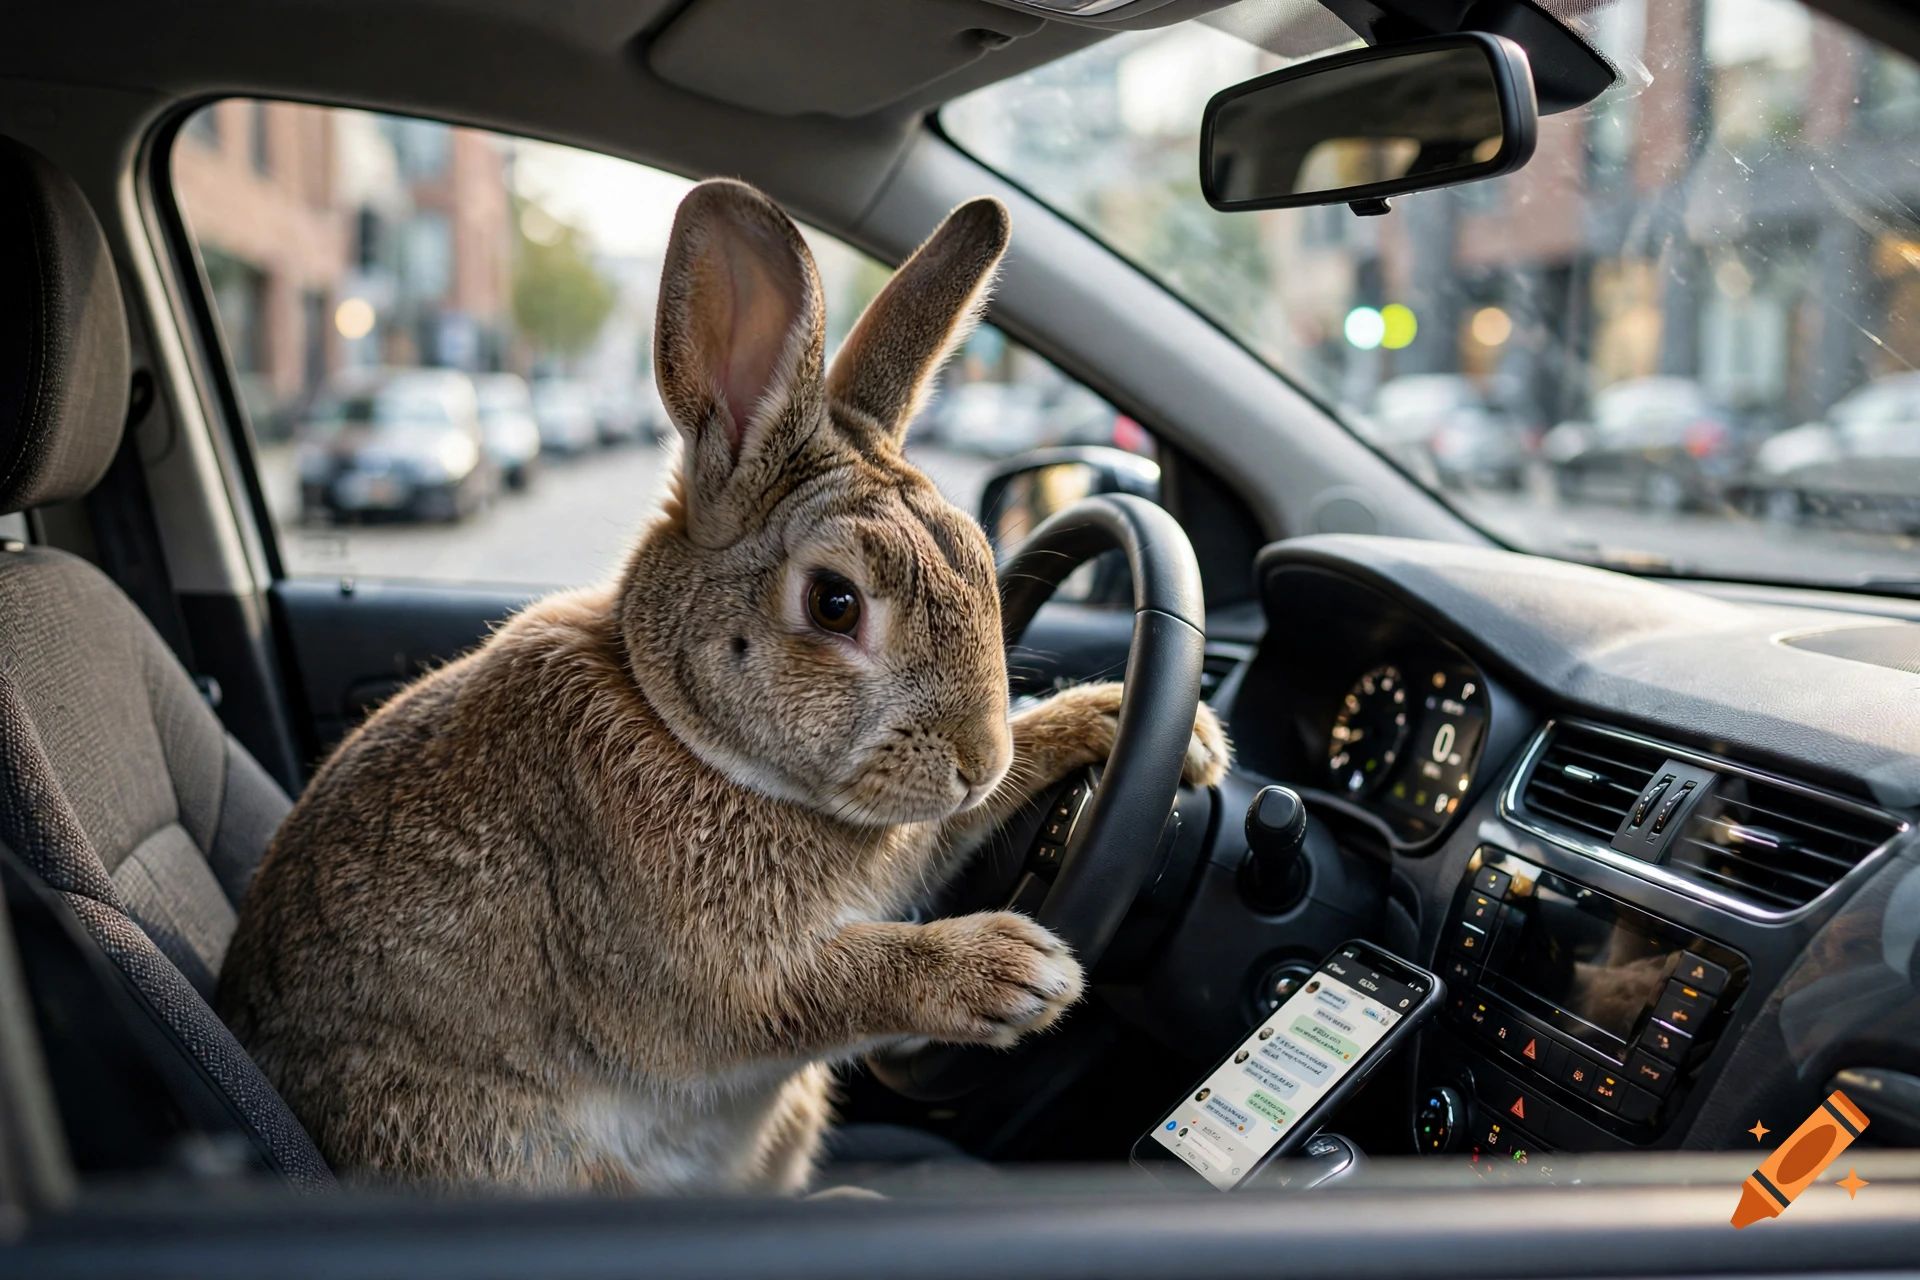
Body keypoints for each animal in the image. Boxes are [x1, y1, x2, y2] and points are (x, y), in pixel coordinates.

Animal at [218, 179, 1231, 1195]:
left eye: (984, 560)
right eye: (833, 603)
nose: (979, 758)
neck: (677, 726)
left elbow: (948, 831)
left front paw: (1139, 727)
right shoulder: (704, 973)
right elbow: (813, 988)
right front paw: (1016, 971)